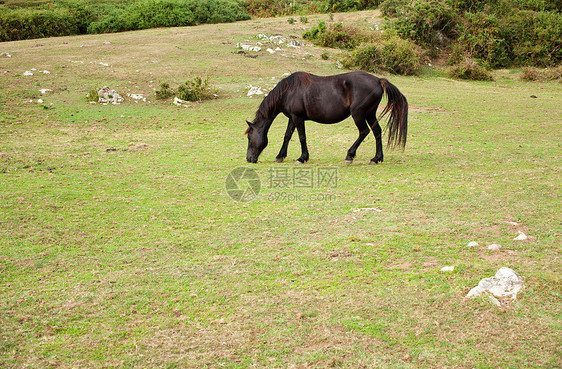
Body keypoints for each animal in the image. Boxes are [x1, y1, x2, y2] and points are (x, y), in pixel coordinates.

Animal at [245, 71, 406, 163]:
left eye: (249, 137)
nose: (249, 159)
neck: (289, 90)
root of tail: (378, 80)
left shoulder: (298, 117)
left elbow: (301, 137)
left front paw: (302, 158)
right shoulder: (292, 117)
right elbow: (287, 136)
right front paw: (280, 156)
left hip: (359, 114)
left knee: (364, 132)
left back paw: (350, 155)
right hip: (370, 114)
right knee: (377, 131)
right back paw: (376, 158)